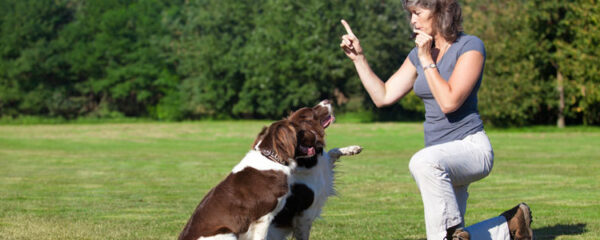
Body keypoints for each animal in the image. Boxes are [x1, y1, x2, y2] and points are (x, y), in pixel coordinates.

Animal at [268, 100, 364, 240]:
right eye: (312, 111)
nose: (327, 100)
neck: (305, 160)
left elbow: (332, 151)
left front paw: (352, 149)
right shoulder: (304, 215)